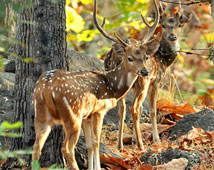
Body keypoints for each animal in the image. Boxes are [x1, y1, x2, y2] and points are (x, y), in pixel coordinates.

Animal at [30, 0, 160, 169]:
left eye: (145, 57)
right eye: (130, 58)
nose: (145, 71)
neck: (112, 87)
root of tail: (45, 90)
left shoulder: (87, 116)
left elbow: (90, 145)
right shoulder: (99, 110)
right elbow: (97, 143)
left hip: (41, 113)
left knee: (36, 147)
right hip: (72, 114)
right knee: (67, 148)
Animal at [101, 0, 191, 150]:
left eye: (180, 25)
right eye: (163, 25)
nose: (172, 36)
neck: (163, 60)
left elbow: (141, 108)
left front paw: (132, 139)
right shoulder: (155, 81)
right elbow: (152, 109)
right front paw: (155, 139)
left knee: (122, 109)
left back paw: (120, 145)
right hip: (143, 80)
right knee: (134, 108)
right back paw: (141, 145)